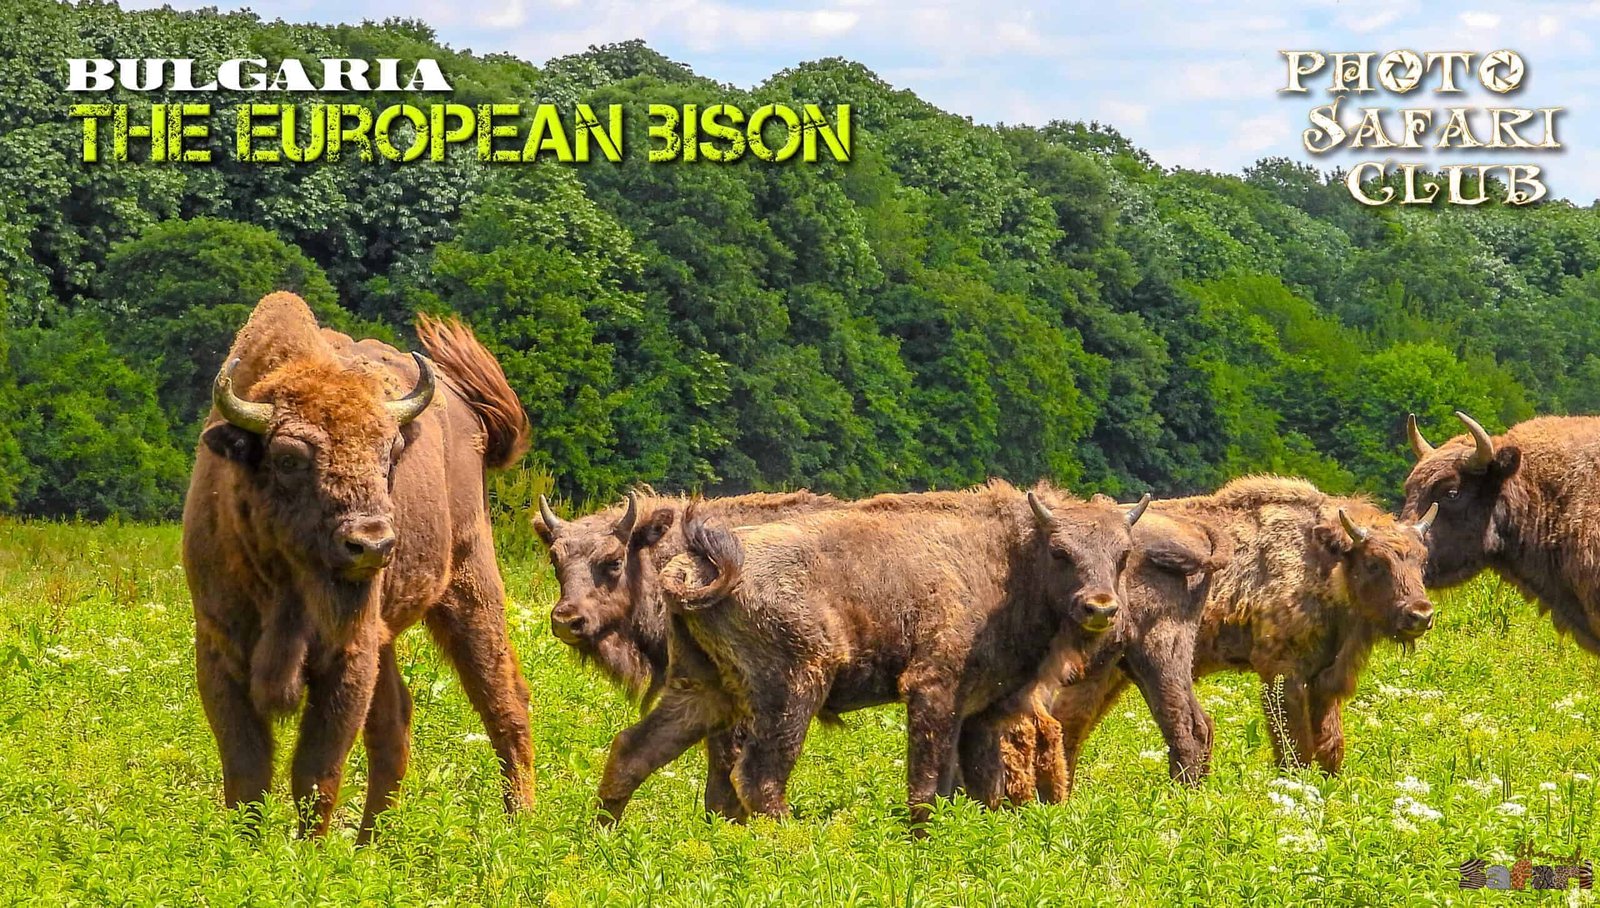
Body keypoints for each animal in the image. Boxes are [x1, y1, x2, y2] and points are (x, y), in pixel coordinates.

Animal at [184, 293, 535, 839]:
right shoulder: (219, 649)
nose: (372, 544)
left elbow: (315, 772)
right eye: (288, 458)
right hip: (389, 631)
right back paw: (372, 843)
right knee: (396, 721)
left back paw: (519, 826)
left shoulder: (347, 657)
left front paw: (309, 850)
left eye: (389, 455)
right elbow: (247, 774)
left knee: (504, 701)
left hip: (470, 586)